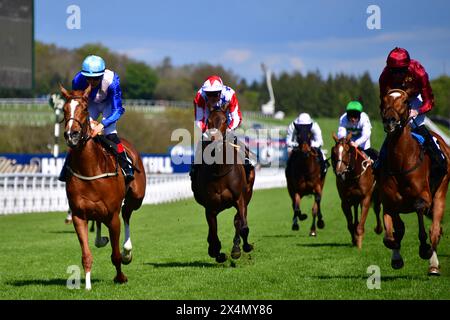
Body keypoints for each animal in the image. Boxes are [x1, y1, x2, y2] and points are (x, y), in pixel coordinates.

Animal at [59, 84, 146, 288]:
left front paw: (120, 277)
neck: (90, 168)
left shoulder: (113, 216)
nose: (72, 134)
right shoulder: (79, 215)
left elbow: (115, 255)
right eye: (64, 109)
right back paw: (101, 239)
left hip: (136, 198)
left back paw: (127, 251)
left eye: (84, 109)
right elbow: (86, 255)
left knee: (127, 213)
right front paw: (87, 285)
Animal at [190, 105, 253, 262]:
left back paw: (238, 246)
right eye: (208, 121)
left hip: (247, 196)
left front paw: (242, 247)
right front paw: (217, 253)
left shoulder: (240, 199)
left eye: (225, 120)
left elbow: (242, 226)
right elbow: (213, 233)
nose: (214, 139)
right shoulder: (210, 207)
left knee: (238, 220)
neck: (219, 169)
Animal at [380, 88, 450, 276]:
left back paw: (433, 265)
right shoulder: (389, 202)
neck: (401, 162)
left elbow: (418, 209)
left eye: (405, 102)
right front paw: (396, 257)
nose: (390, 121)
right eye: (384, 100)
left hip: (440, 193)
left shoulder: (425, 196)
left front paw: (424, 248)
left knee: (435, 229)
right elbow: (393, 233)